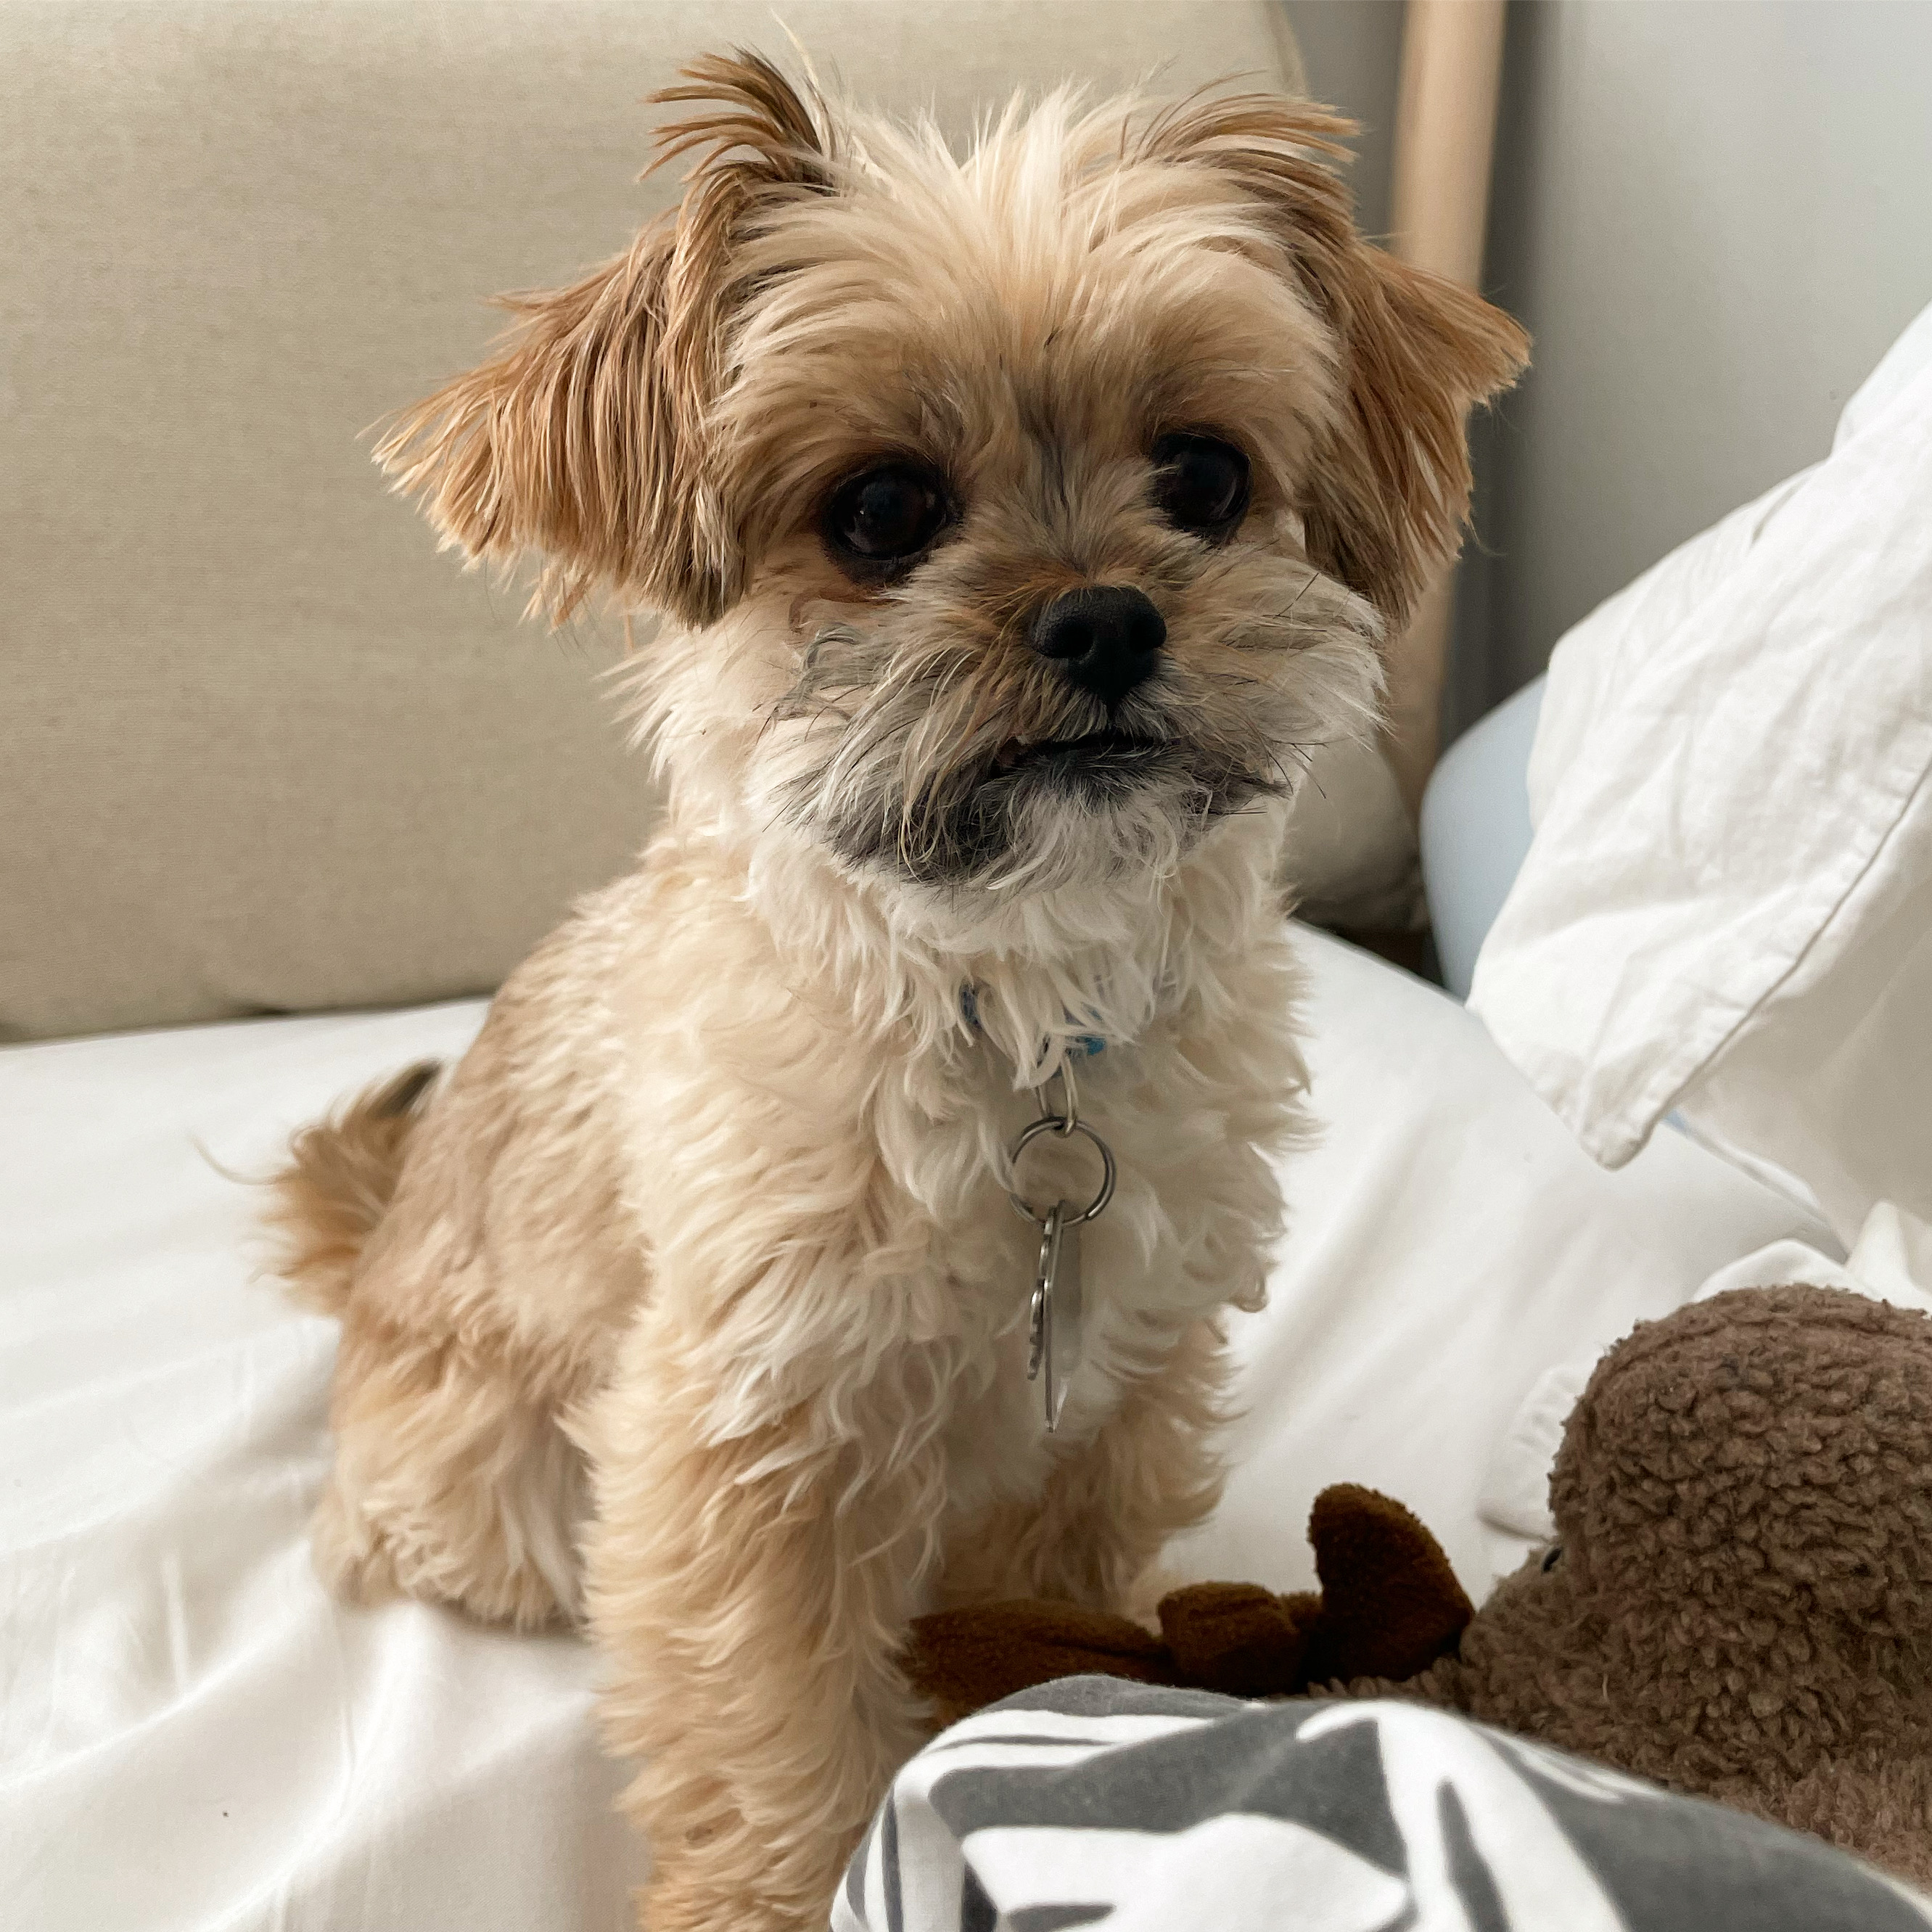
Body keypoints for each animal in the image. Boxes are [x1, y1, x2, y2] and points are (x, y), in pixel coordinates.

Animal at [269, 52, 1525, 1932]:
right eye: (878, 511)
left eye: (1204, 476)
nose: (1102, 615)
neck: (1013, 1016)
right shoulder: (748, 1453)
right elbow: (770, 1731)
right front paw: (792, 1887)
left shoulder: (1108, 1400)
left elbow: (1036, 1628)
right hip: (477, 1474)